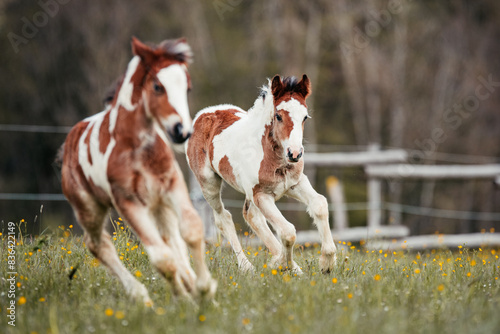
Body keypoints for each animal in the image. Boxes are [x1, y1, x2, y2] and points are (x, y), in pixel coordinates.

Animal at [60, 36, 215, 302]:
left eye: (187, 88)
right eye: (157, 87)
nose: (180, 131)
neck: (137, 148)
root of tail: (70, 140)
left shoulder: (172, 185)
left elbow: (192, 230)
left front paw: (204, 290)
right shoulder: (128, 201)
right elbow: (161, 258)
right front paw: (185, 301)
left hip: (158, 204)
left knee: (172, 240)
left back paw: (189, 282)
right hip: (89, 209)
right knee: (98, 245)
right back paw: (141, 296)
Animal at [187, 75, 336, 274]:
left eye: (305, 117)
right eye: (278, 116)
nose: (295, 153)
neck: (276, 159)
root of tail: (202, 114)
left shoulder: (295, 184)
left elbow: (320, 204)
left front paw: (327, 263)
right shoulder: (262, 195)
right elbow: (288, 232)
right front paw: (283, 264)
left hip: (248, 192)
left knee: (251, 216)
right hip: (209, 184)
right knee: (223, 218)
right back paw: (247, 266)